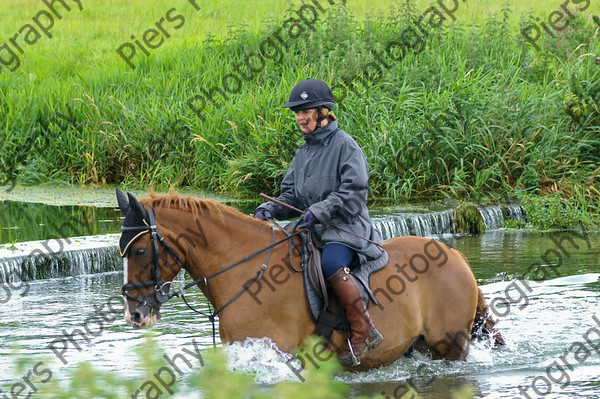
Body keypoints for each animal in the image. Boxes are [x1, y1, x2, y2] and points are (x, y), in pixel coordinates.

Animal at [117, 191, 502, 372]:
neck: (246, 271)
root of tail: (454, 255)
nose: (134, 314)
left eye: (139, 250)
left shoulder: (276, 352)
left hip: (450, 346)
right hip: (420, 345)